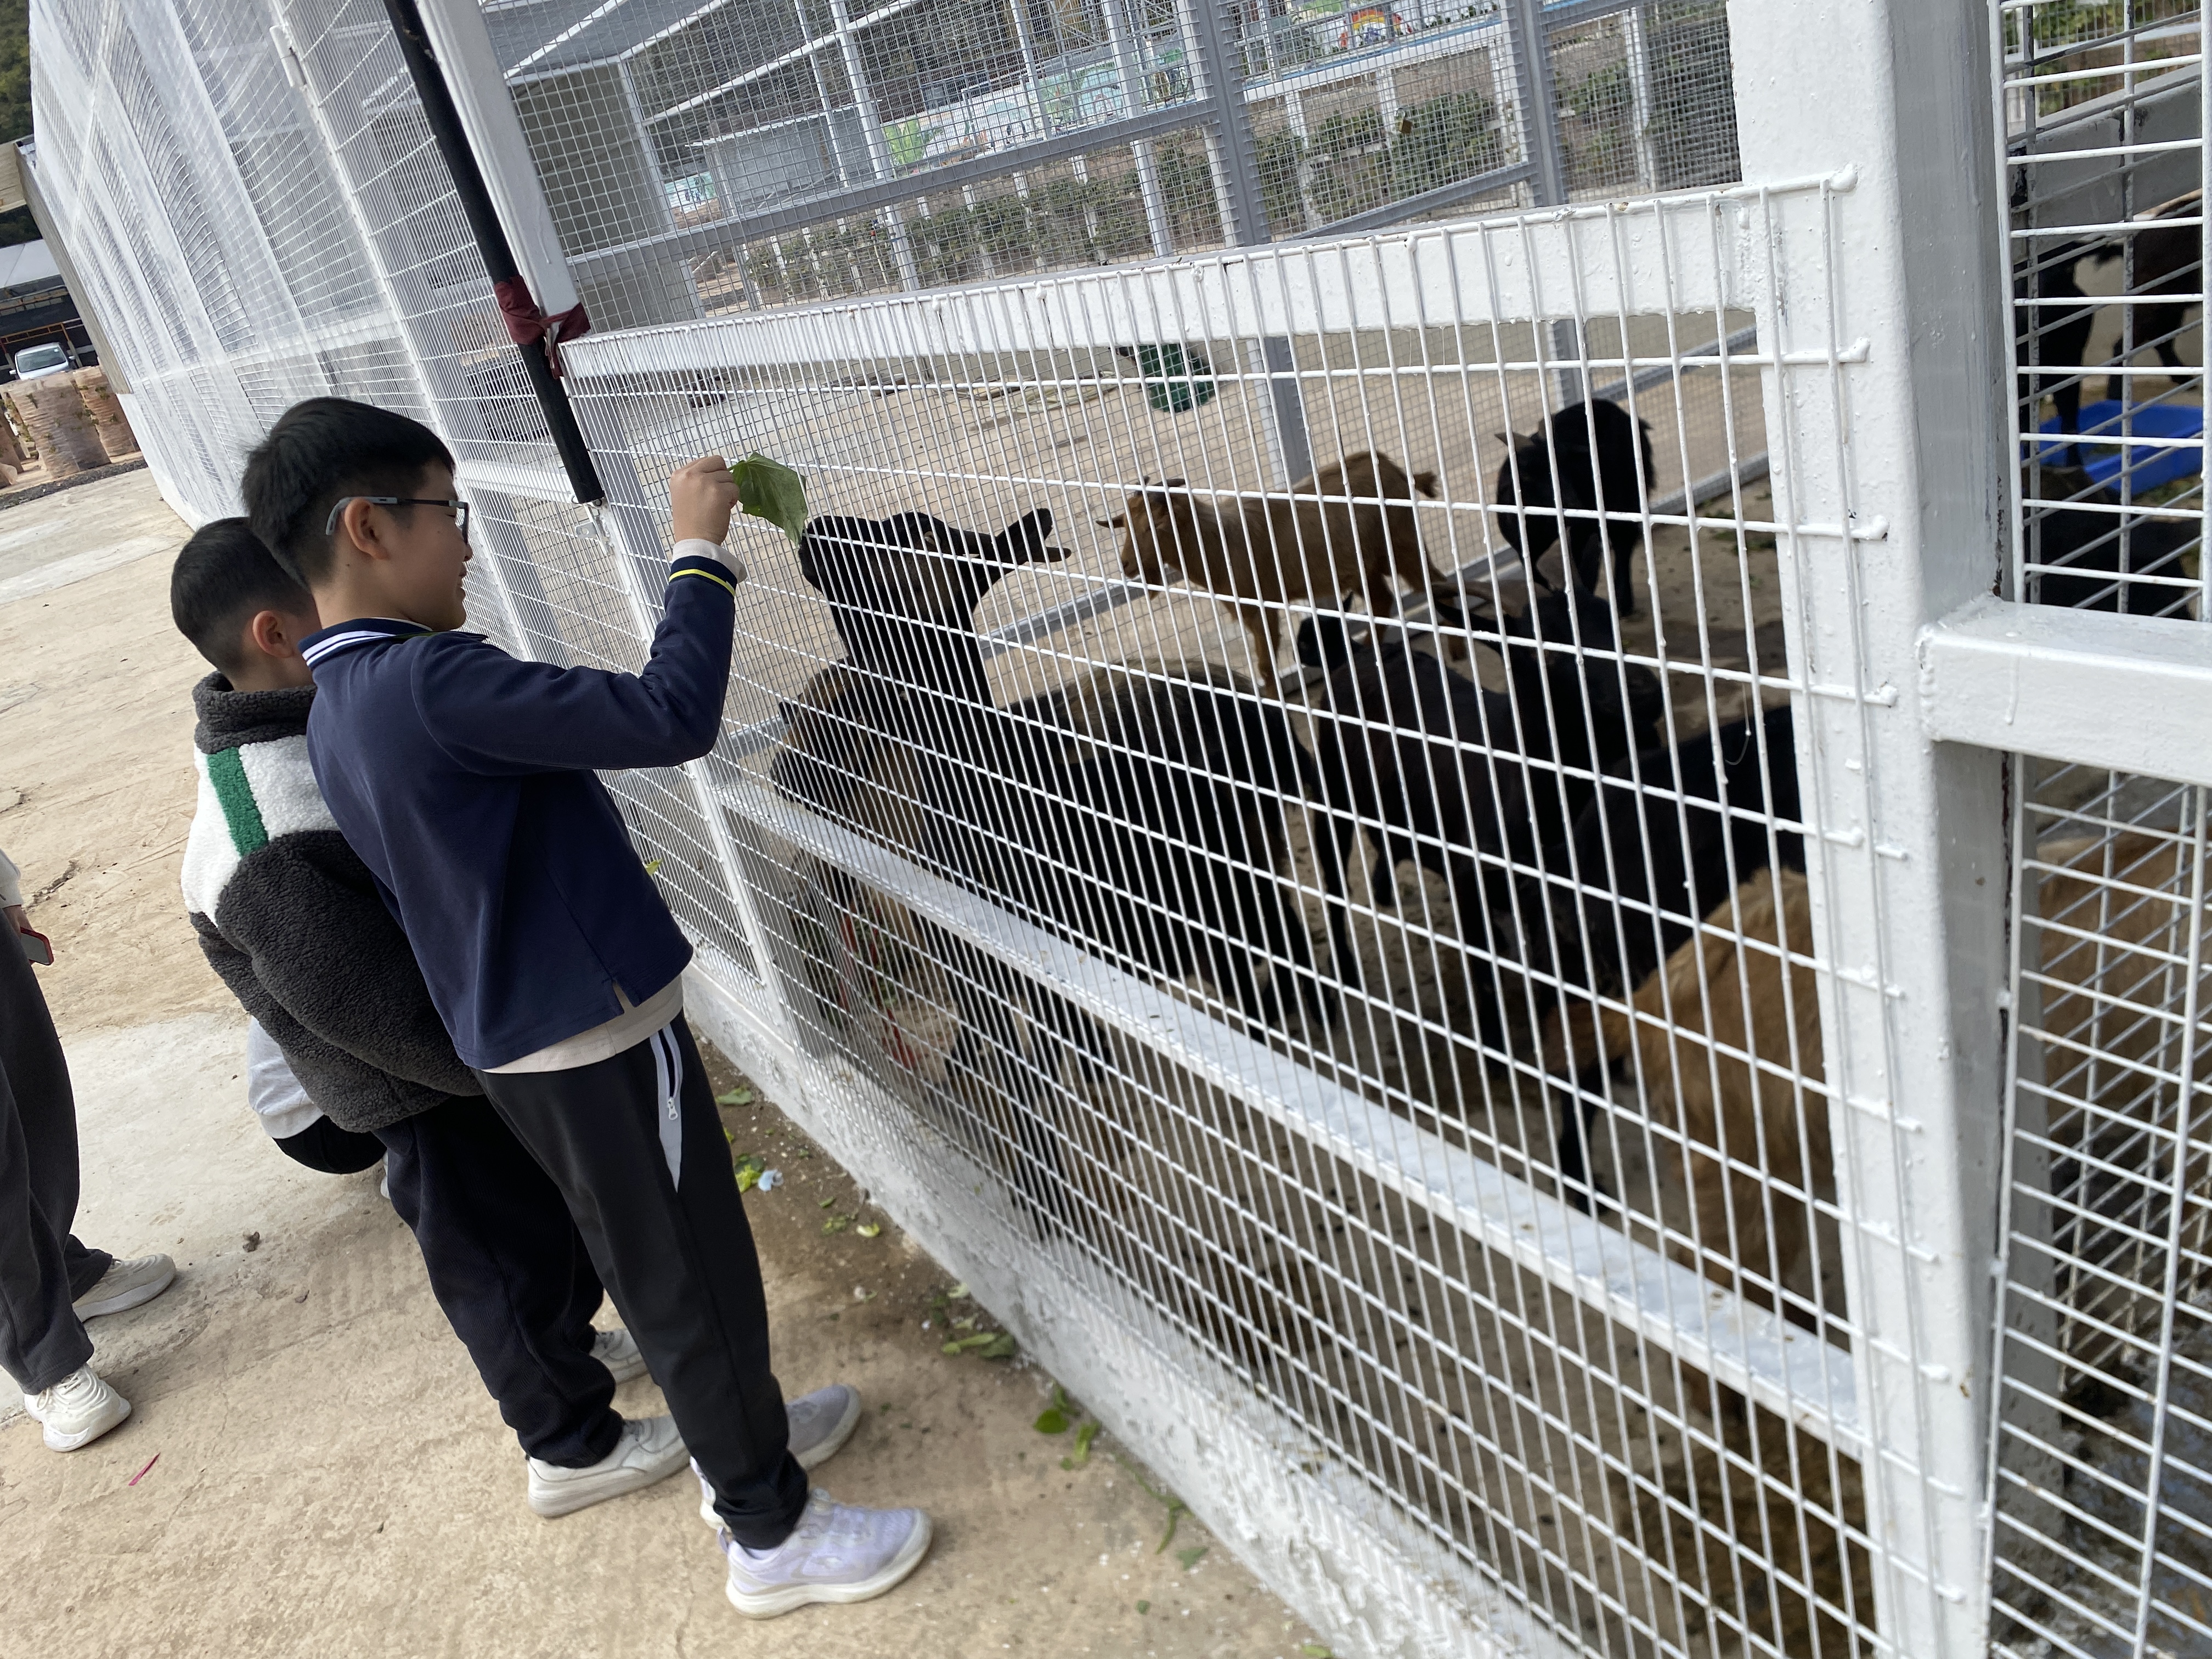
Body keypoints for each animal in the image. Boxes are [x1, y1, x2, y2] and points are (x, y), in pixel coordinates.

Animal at [1105, 451, 1439, 688]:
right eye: (1126, 526)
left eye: (1156, 525)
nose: (1126, 564)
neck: (1220, 540)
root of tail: (1393, 469)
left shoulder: (1261, 609)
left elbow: (1266, 667)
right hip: (1365, 568)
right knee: (1384, 601)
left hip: (1403, 545)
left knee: (1433, 586)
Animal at [1492, 398, 1655, 615]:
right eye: (1527, 475)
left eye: (1566, 466)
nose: (1574, 506)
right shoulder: (1525, 553)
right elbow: (1538, 583)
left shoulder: (1576, 540)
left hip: (1628, 496)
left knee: (1624, 541)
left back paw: (1623, 603)